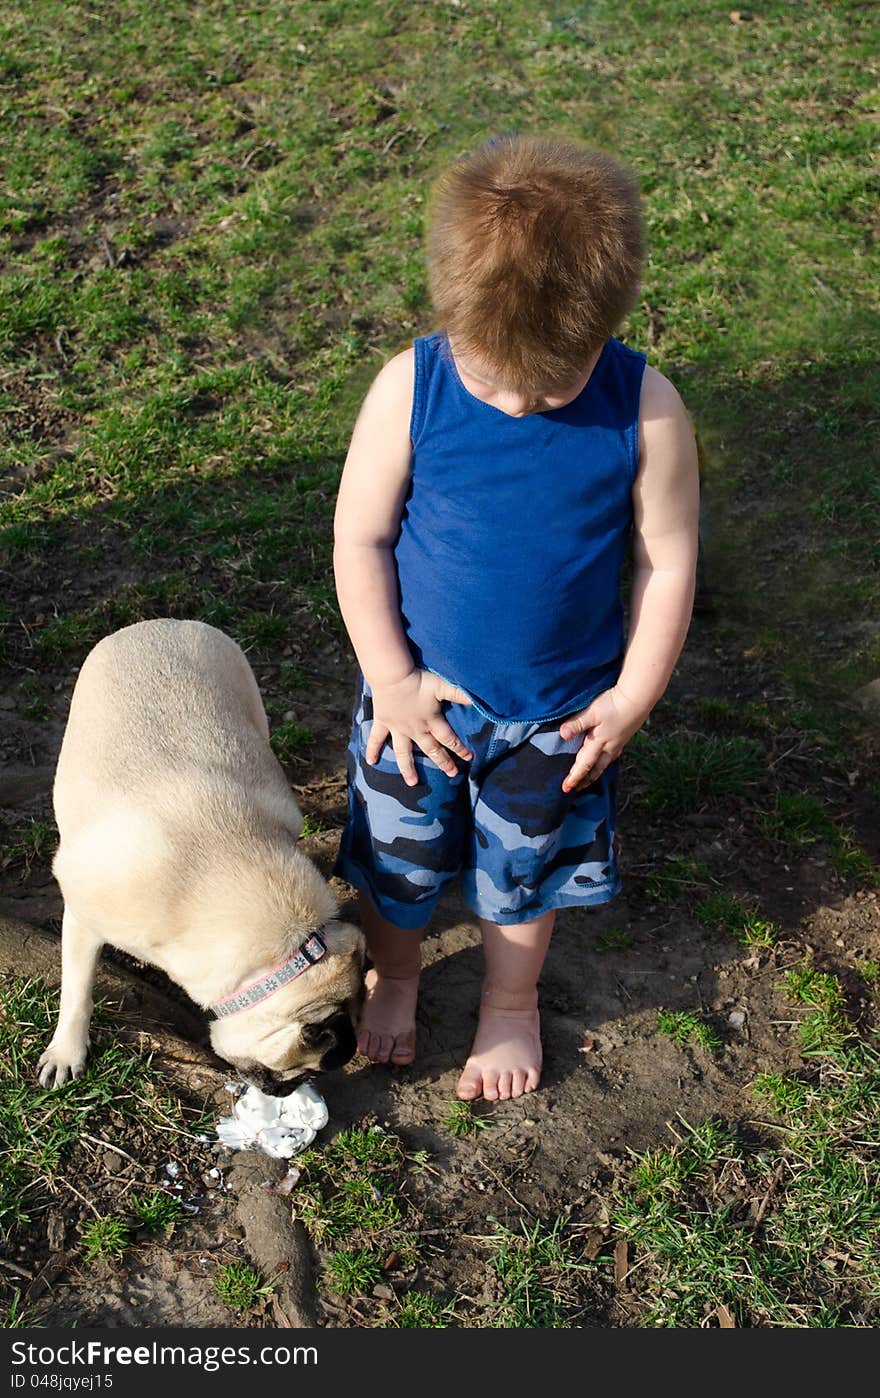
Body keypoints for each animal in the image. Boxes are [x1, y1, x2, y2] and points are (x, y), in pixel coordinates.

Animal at [38, 620, 363, 1090]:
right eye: (299, 1070)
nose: (287, 1089)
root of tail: (161, 624)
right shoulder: (83, 919)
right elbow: (77, 992)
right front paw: (67, 1050)